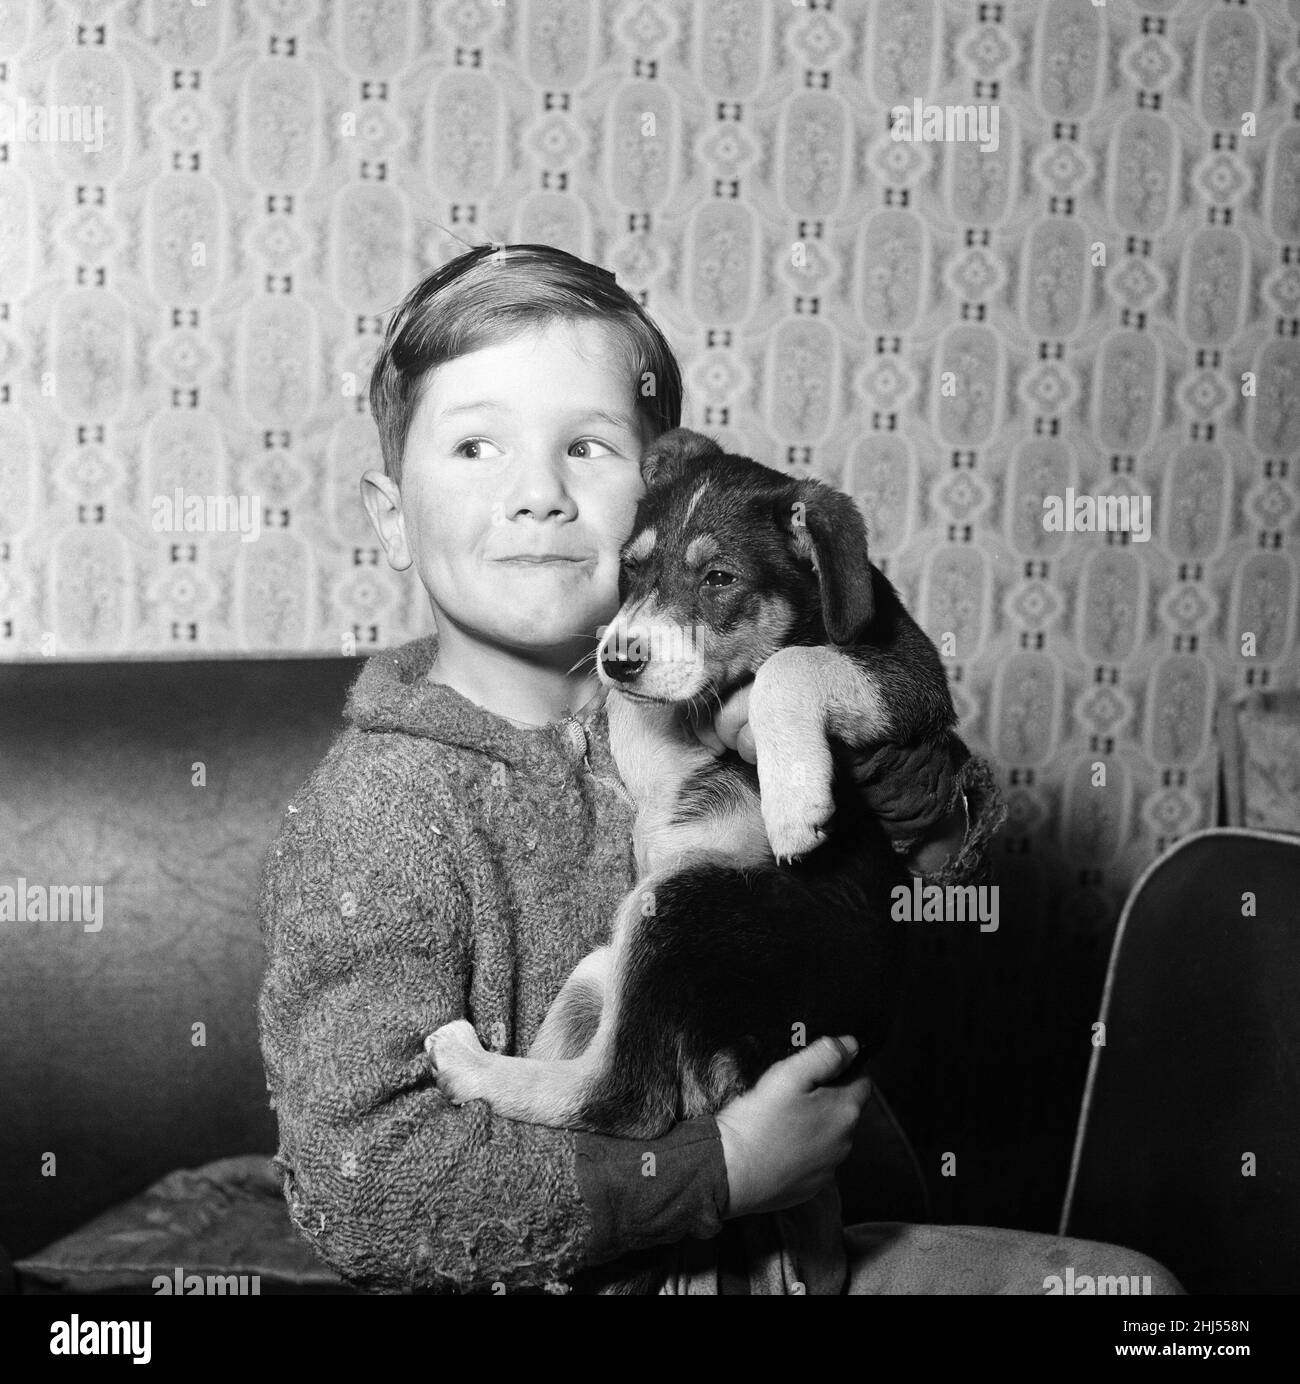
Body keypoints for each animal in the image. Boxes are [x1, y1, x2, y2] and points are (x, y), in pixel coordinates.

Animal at [426, 429, 958, 1134]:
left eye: (720, 579)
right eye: (630, 567)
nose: (618, 659)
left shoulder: (912, 671)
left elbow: (794, 661)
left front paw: (795, 803)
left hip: (680, 903)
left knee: (625, 1095)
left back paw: (467, 1063)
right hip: (607, 967)